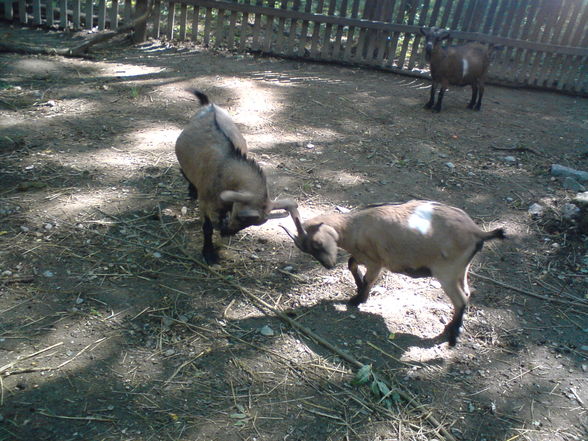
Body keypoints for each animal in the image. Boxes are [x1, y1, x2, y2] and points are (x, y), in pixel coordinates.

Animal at [173, 87, 294, 262]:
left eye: (249, 224)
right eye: (241, 217)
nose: (226, 232)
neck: (226, 165)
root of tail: (208, 105)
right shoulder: (205, 202)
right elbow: (207, 227)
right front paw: (209, 254)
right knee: (185, 173)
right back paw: (191, 191)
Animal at [284, 200, 506, 348]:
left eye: (316, 243)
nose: (328, 265)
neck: (355, 226)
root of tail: (477, 232)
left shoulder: (376, 261)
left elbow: (368, 278)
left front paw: (358, 299)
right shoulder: (363, 256)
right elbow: (351, 264)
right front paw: (358, 290)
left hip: (447, 272)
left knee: (460, 299)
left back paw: (452, 338)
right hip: (461, 269)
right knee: (467, 293)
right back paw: (451, 328)